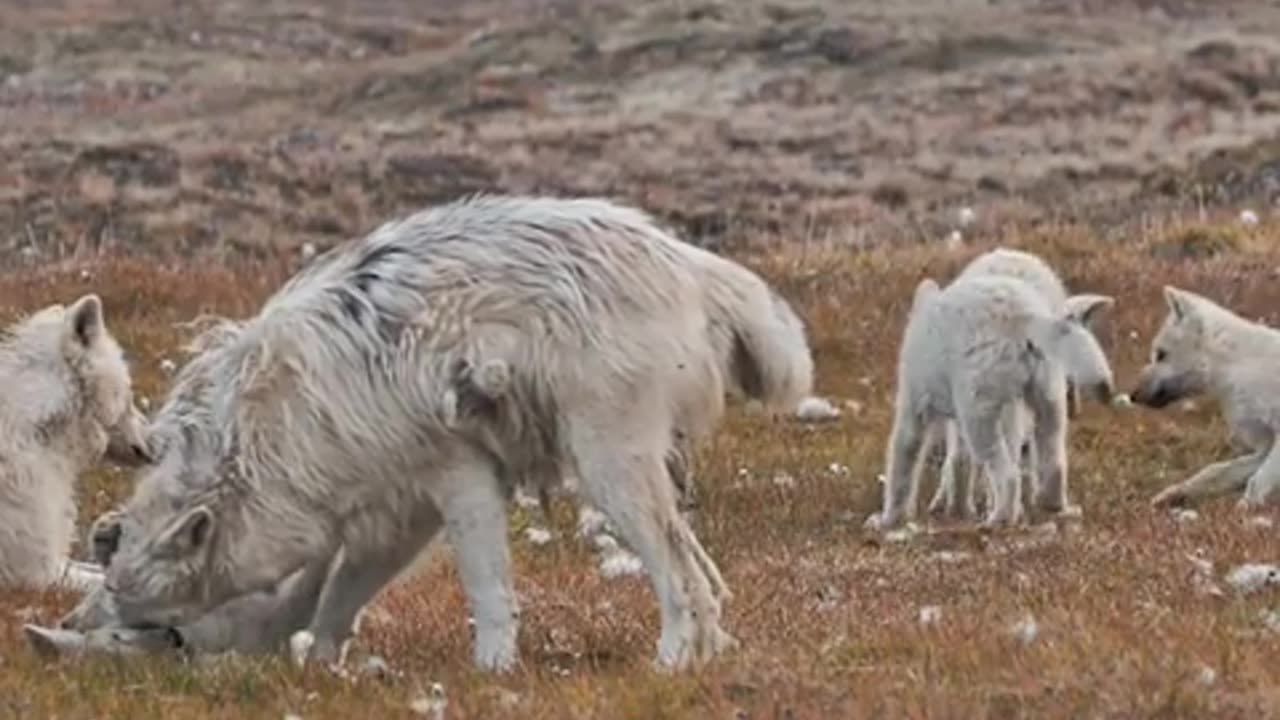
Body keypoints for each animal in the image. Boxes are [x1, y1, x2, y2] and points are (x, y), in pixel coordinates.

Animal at [64, 193, 808, 671]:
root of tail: (687, 260)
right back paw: (708, 652)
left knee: (680, 577)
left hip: (608, 467)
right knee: (703, 571)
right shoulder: (396, 517)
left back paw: (672, 661)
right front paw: (320, 668)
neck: (264, 445)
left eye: (132, 607)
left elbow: (489, 591)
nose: (65, 630)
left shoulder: (461, 483)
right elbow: (336, 599)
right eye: (111, 591)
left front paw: (493, 671)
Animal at [865, 270, 1116, 527]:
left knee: (1008, 475)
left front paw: (887, 520)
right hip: (1047, 396)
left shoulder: (914, 401)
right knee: (1053, 461)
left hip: (979, 410)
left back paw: (999, 518)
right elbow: (958, 462)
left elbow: (903, 461)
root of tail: (1025, 317)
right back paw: (1054, 506)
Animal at [1136, 283, 1280, 507]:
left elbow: (1258, 481)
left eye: (1161, 354)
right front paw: (1174, 494)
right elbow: (1215, 472)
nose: (1132, 395)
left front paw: (1245, 510)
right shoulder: (1264, 445)